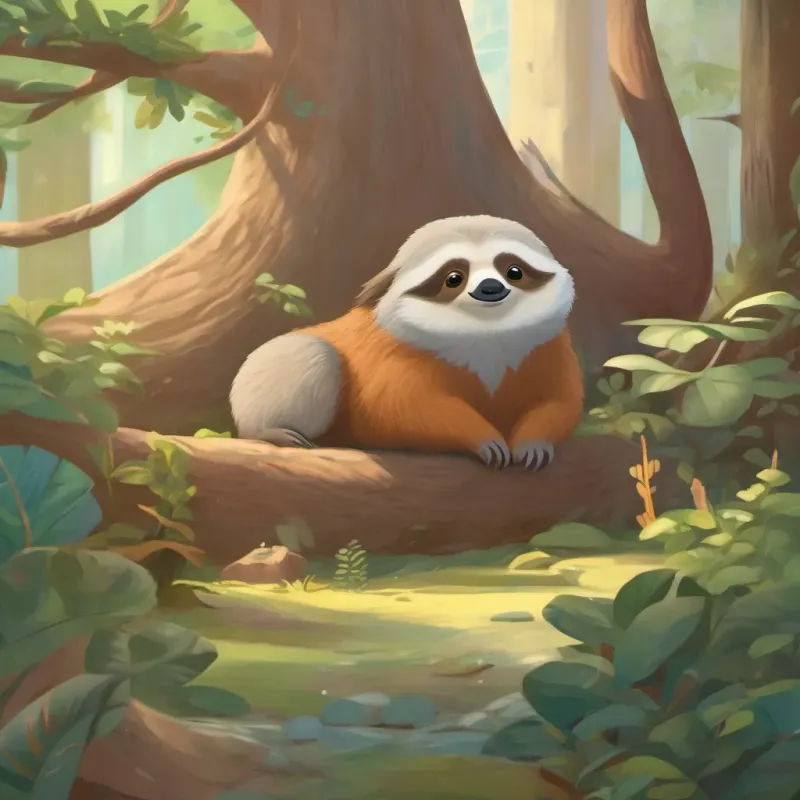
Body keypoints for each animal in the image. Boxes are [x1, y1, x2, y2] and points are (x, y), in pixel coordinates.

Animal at [230, 214, 584, 470]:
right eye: (454, 278)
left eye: (514, 271)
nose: (490, 287)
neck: (486, 336)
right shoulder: (395, 353)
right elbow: (405, 407)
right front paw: (483, 439)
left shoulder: (551, 347)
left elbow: (561, 399)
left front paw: (533, 443)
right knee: (314, 355)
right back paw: (269, 431)